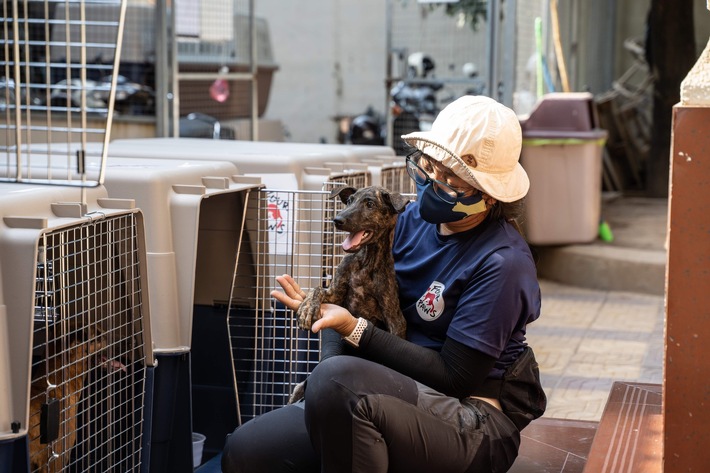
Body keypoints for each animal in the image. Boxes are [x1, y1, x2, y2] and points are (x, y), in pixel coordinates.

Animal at [288, 184, 412, 402]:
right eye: (349, 200)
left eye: (370, 204)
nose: (337, 220)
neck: (365, 262)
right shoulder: (335, 293)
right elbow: (316, 289)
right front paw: (307, 309)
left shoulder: (395, 319)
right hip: (298, 388)